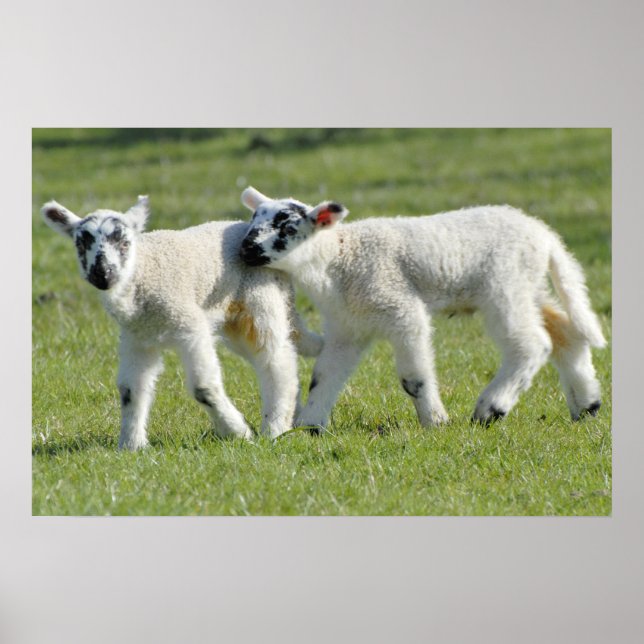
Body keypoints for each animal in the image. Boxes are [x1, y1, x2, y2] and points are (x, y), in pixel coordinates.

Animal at [41, 196, 322, 450]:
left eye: (124, 243)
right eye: (80, 244)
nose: (103, 274)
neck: (143, 276)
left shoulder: (189, 324)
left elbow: (203, 387)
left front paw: (238, 432)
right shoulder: (138, 338)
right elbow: (131, 390)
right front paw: (131, 446)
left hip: (262, 297)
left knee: (278, 361)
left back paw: (273, 430)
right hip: (236, 321)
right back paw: (290, 420)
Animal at [238, 186, 606, 432]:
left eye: (288, 228)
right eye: (253, 219)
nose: (245, 247)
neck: (338, 257)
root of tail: (544, 234)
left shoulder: (401, 308)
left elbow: (412, 378)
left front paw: (435, 421)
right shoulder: (348, 326)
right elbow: (323, 376)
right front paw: (309, 426)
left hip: (505, 285)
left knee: (532, 344)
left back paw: (491, 409)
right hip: (530, 286)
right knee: (565, 333)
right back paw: (587, 406)